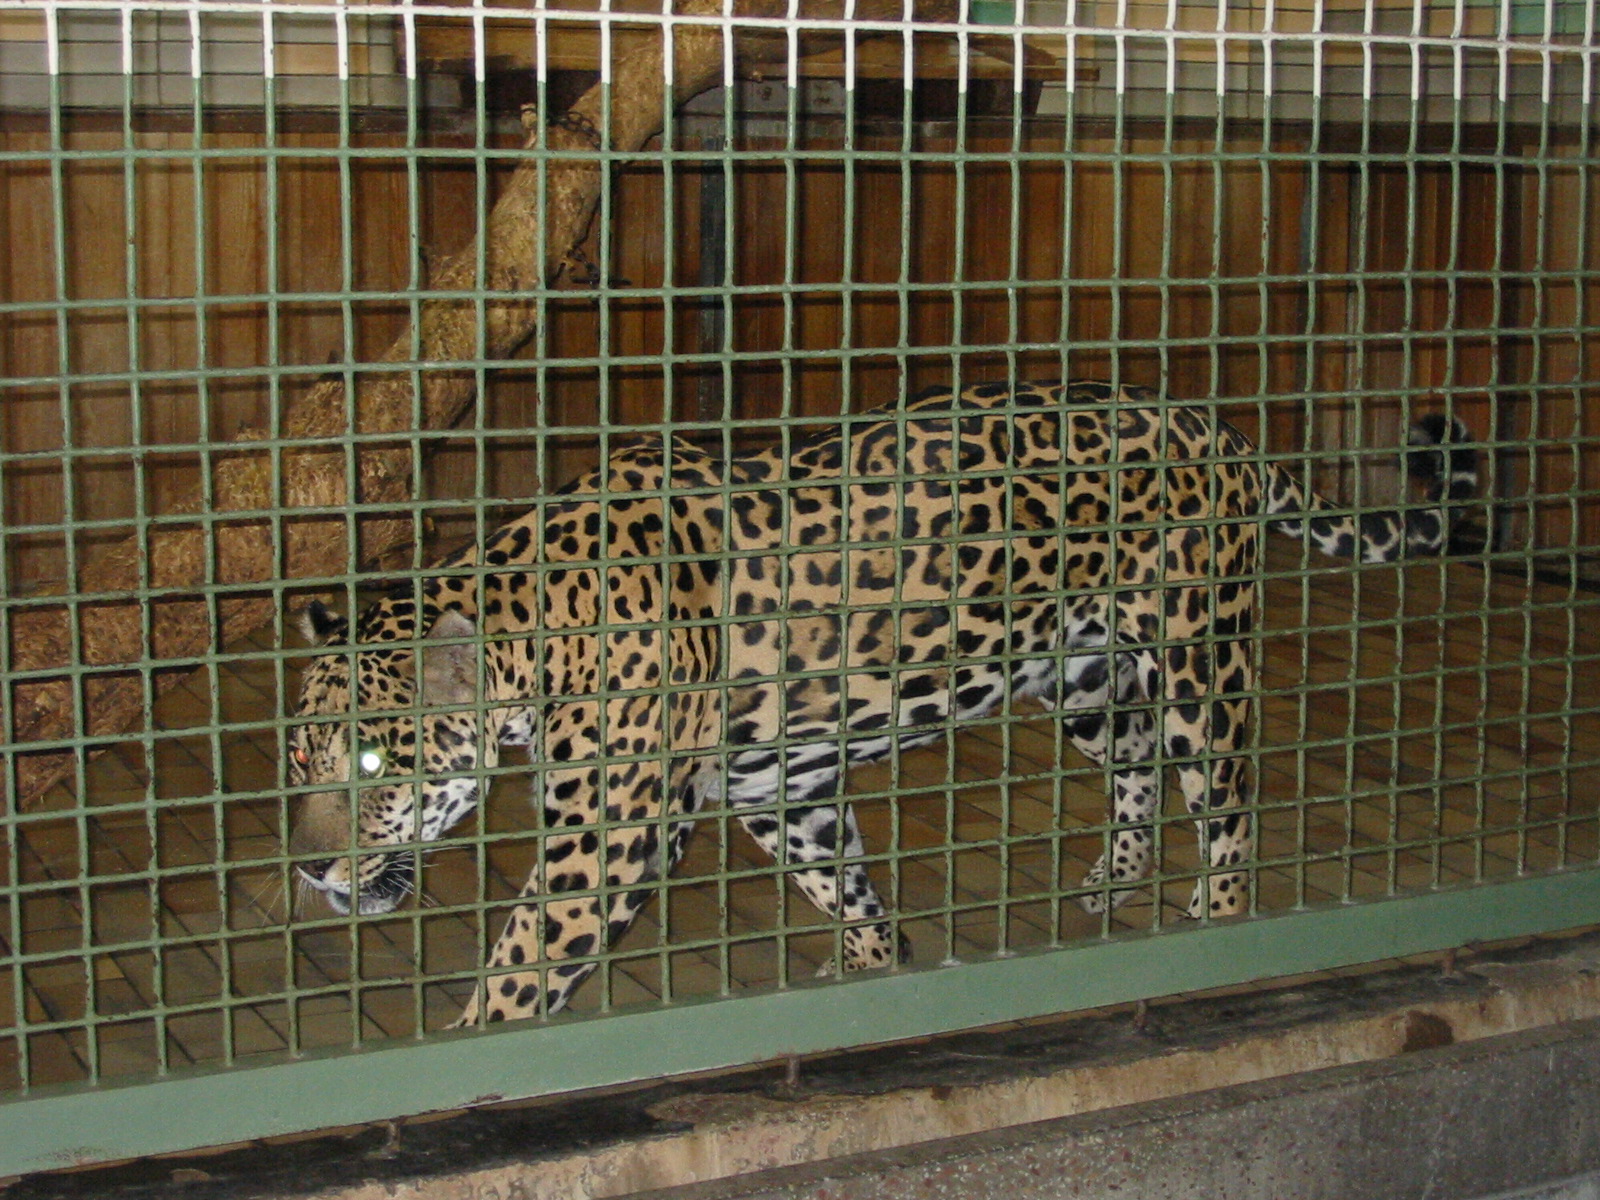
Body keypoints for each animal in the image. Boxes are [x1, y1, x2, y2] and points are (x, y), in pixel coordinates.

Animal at [286, 378, 1478, 1025]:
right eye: (297, 770)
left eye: (376, 768)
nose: (310, 872)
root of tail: (1213, 429)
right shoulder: (779, 787)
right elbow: (844, 884)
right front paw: (868, 975)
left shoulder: (607, 840)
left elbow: (519, 968)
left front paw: (463, 1047)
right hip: (1084, 674)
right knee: (1135, 760)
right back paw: (1113, 883)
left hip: (1199, 661)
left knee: (1226, 800)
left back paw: (1214, 925)